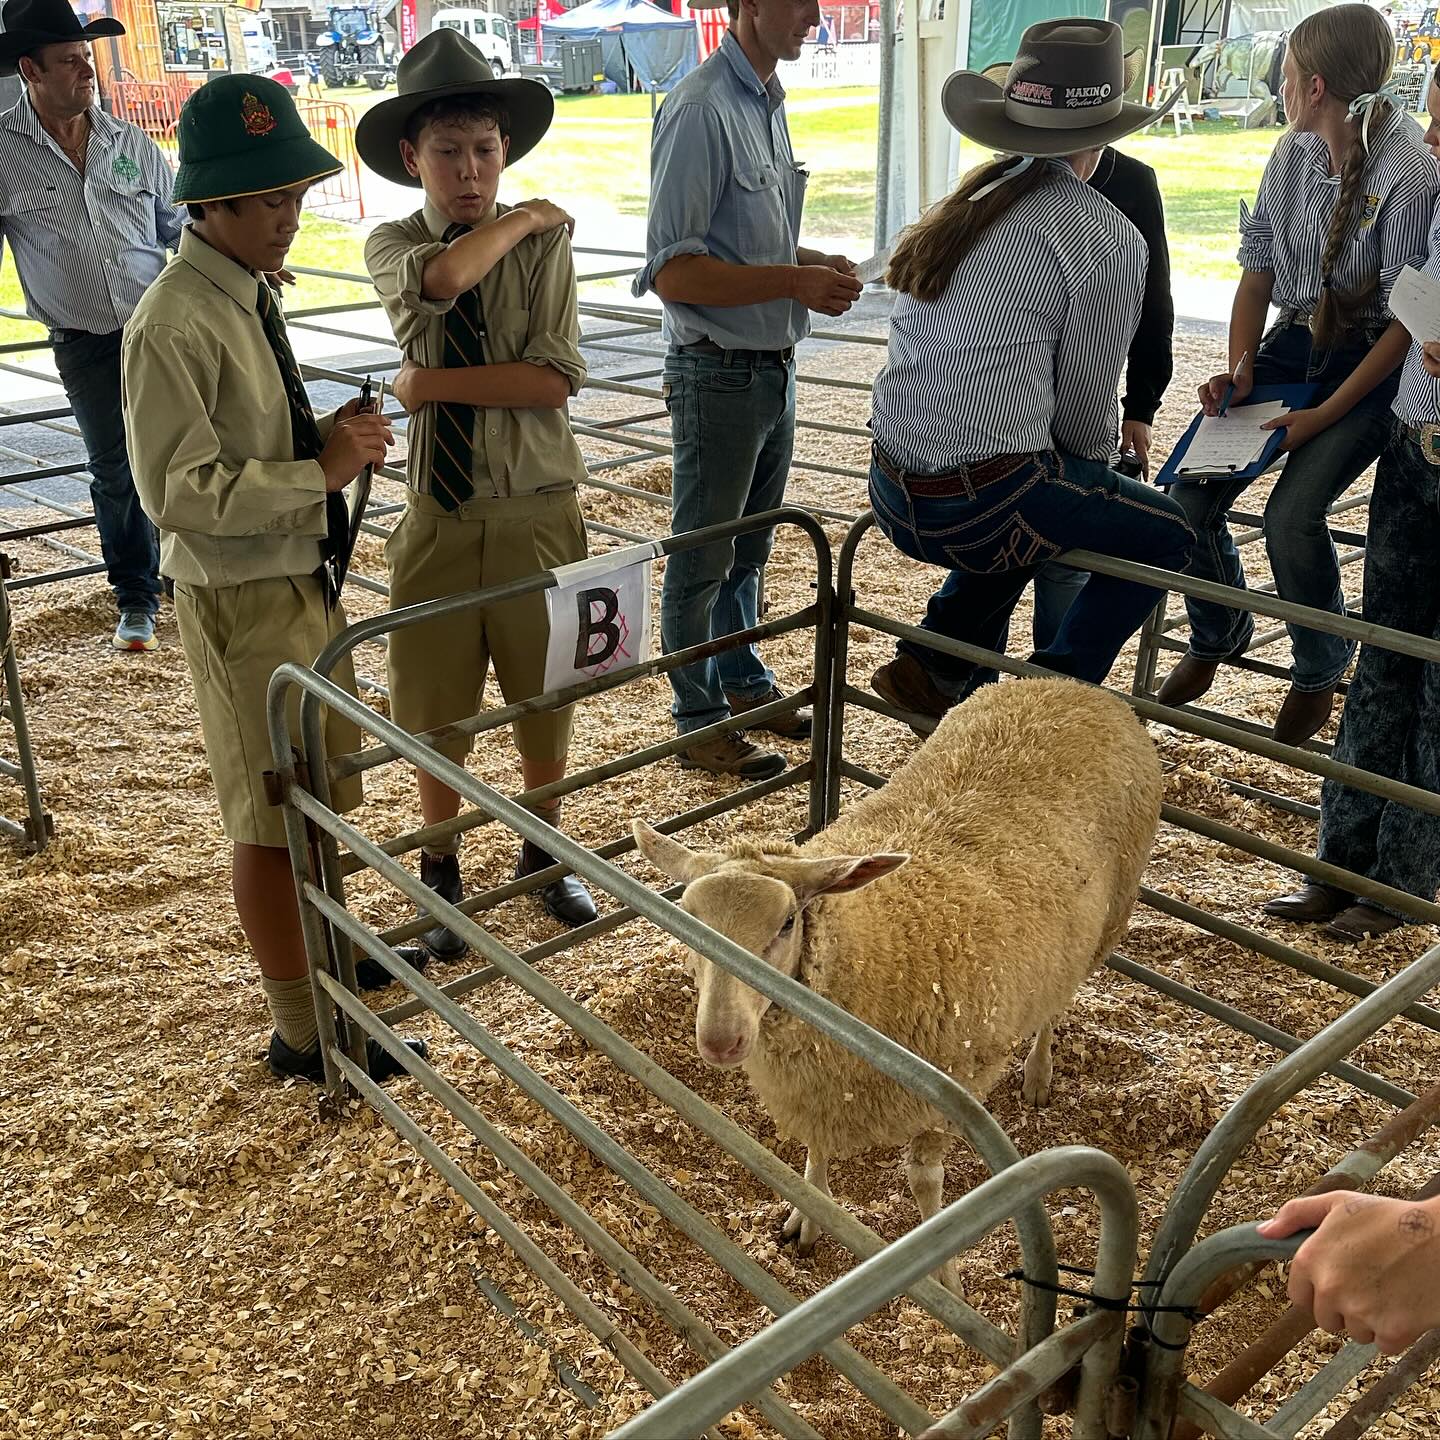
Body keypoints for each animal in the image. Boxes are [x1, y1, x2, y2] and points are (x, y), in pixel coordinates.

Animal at [630, 676, 1157, 1296]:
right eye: (684, 919)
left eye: (787, 923)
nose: (720, 1040)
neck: (875, 939)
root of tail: (1071, 687)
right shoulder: (822, 1087)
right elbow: (816, 1147)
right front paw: (809, 1218)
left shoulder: (947, 1089)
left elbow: (926, 1183)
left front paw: (946, 1279)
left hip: (1103, 924)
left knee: (1056, 1006)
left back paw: (1038, 1074)